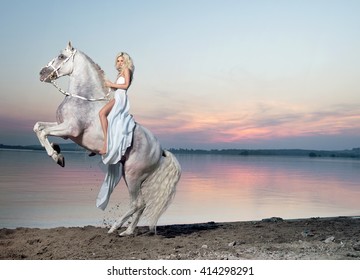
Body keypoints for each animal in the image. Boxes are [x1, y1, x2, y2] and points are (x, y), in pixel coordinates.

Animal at [34, 42, 181, 236]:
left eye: (61, 57)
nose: (42, 73)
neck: (84, 99)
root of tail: (160, 150)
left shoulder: (70, 129)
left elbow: (43, 132)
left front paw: (56, 156)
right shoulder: (63, 128)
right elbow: (38, 127)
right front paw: (57, 150)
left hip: (133, 175)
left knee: (137, 203)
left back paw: (115, 228)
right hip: (130, 176)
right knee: (140, 205)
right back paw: (127, 231)